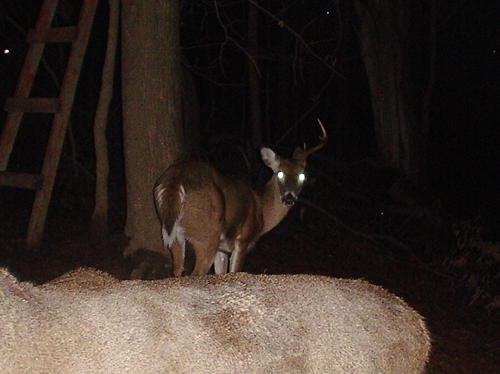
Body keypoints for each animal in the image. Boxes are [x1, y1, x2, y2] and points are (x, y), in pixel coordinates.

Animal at [153, 120, 328, 278]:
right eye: (280, 173)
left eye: (302, 175)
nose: (289, 198)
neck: (262, 210)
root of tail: (175, 180)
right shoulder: (243, 239)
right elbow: (234, 271)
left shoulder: (222, 249)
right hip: (207, 233)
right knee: (195, 273)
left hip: (175, 234)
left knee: (176, 272)